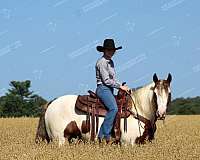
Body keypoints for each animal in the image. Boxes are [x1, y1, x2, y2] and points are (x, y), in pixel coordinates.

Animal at [34, 73, 172, 146]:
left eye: (169, 93)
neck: (139, 110)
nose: (161, 113)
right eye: (155, 94)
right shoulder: (129, 143)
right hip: (60, 140)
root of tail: (52, 102)